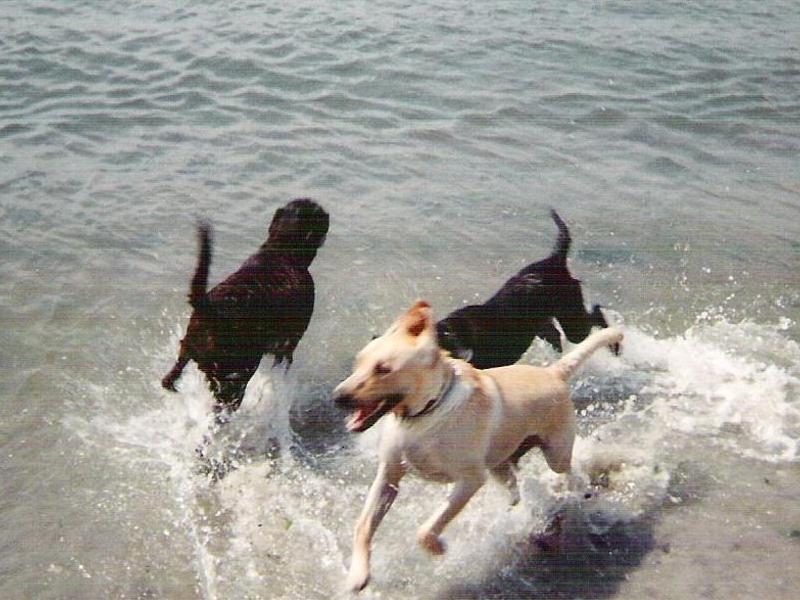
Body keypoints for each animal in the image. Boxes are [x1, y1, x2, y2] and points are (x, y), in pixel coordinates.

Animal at [162, 199, 328, 410]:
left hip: (188, 349)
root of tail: (211, 310)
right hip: (236, 376)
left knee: (169, 378)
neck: (282, 249)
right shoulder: (287, 345)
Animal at [330, 300, 620, 592]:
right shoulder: (388, 476)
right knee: (514, 492)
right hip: (500, 465)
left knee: (568, 471)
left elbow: (427, 529)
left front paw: (439, 548)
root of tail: (553, 372)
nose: (337, 397)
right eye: (358, 363)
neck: (425, 414)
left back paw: (580, 492)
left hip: (554, 452)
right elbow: (363, 525)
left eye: (383, 369)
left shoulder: (470, 480)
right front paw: (358, 574)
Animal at [438, 211, 620, 370]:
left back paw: (614, 345)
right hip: (545, 325)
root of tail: (554, 259)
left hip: (572, 321)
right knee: (559, 334)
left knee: (596, 313)